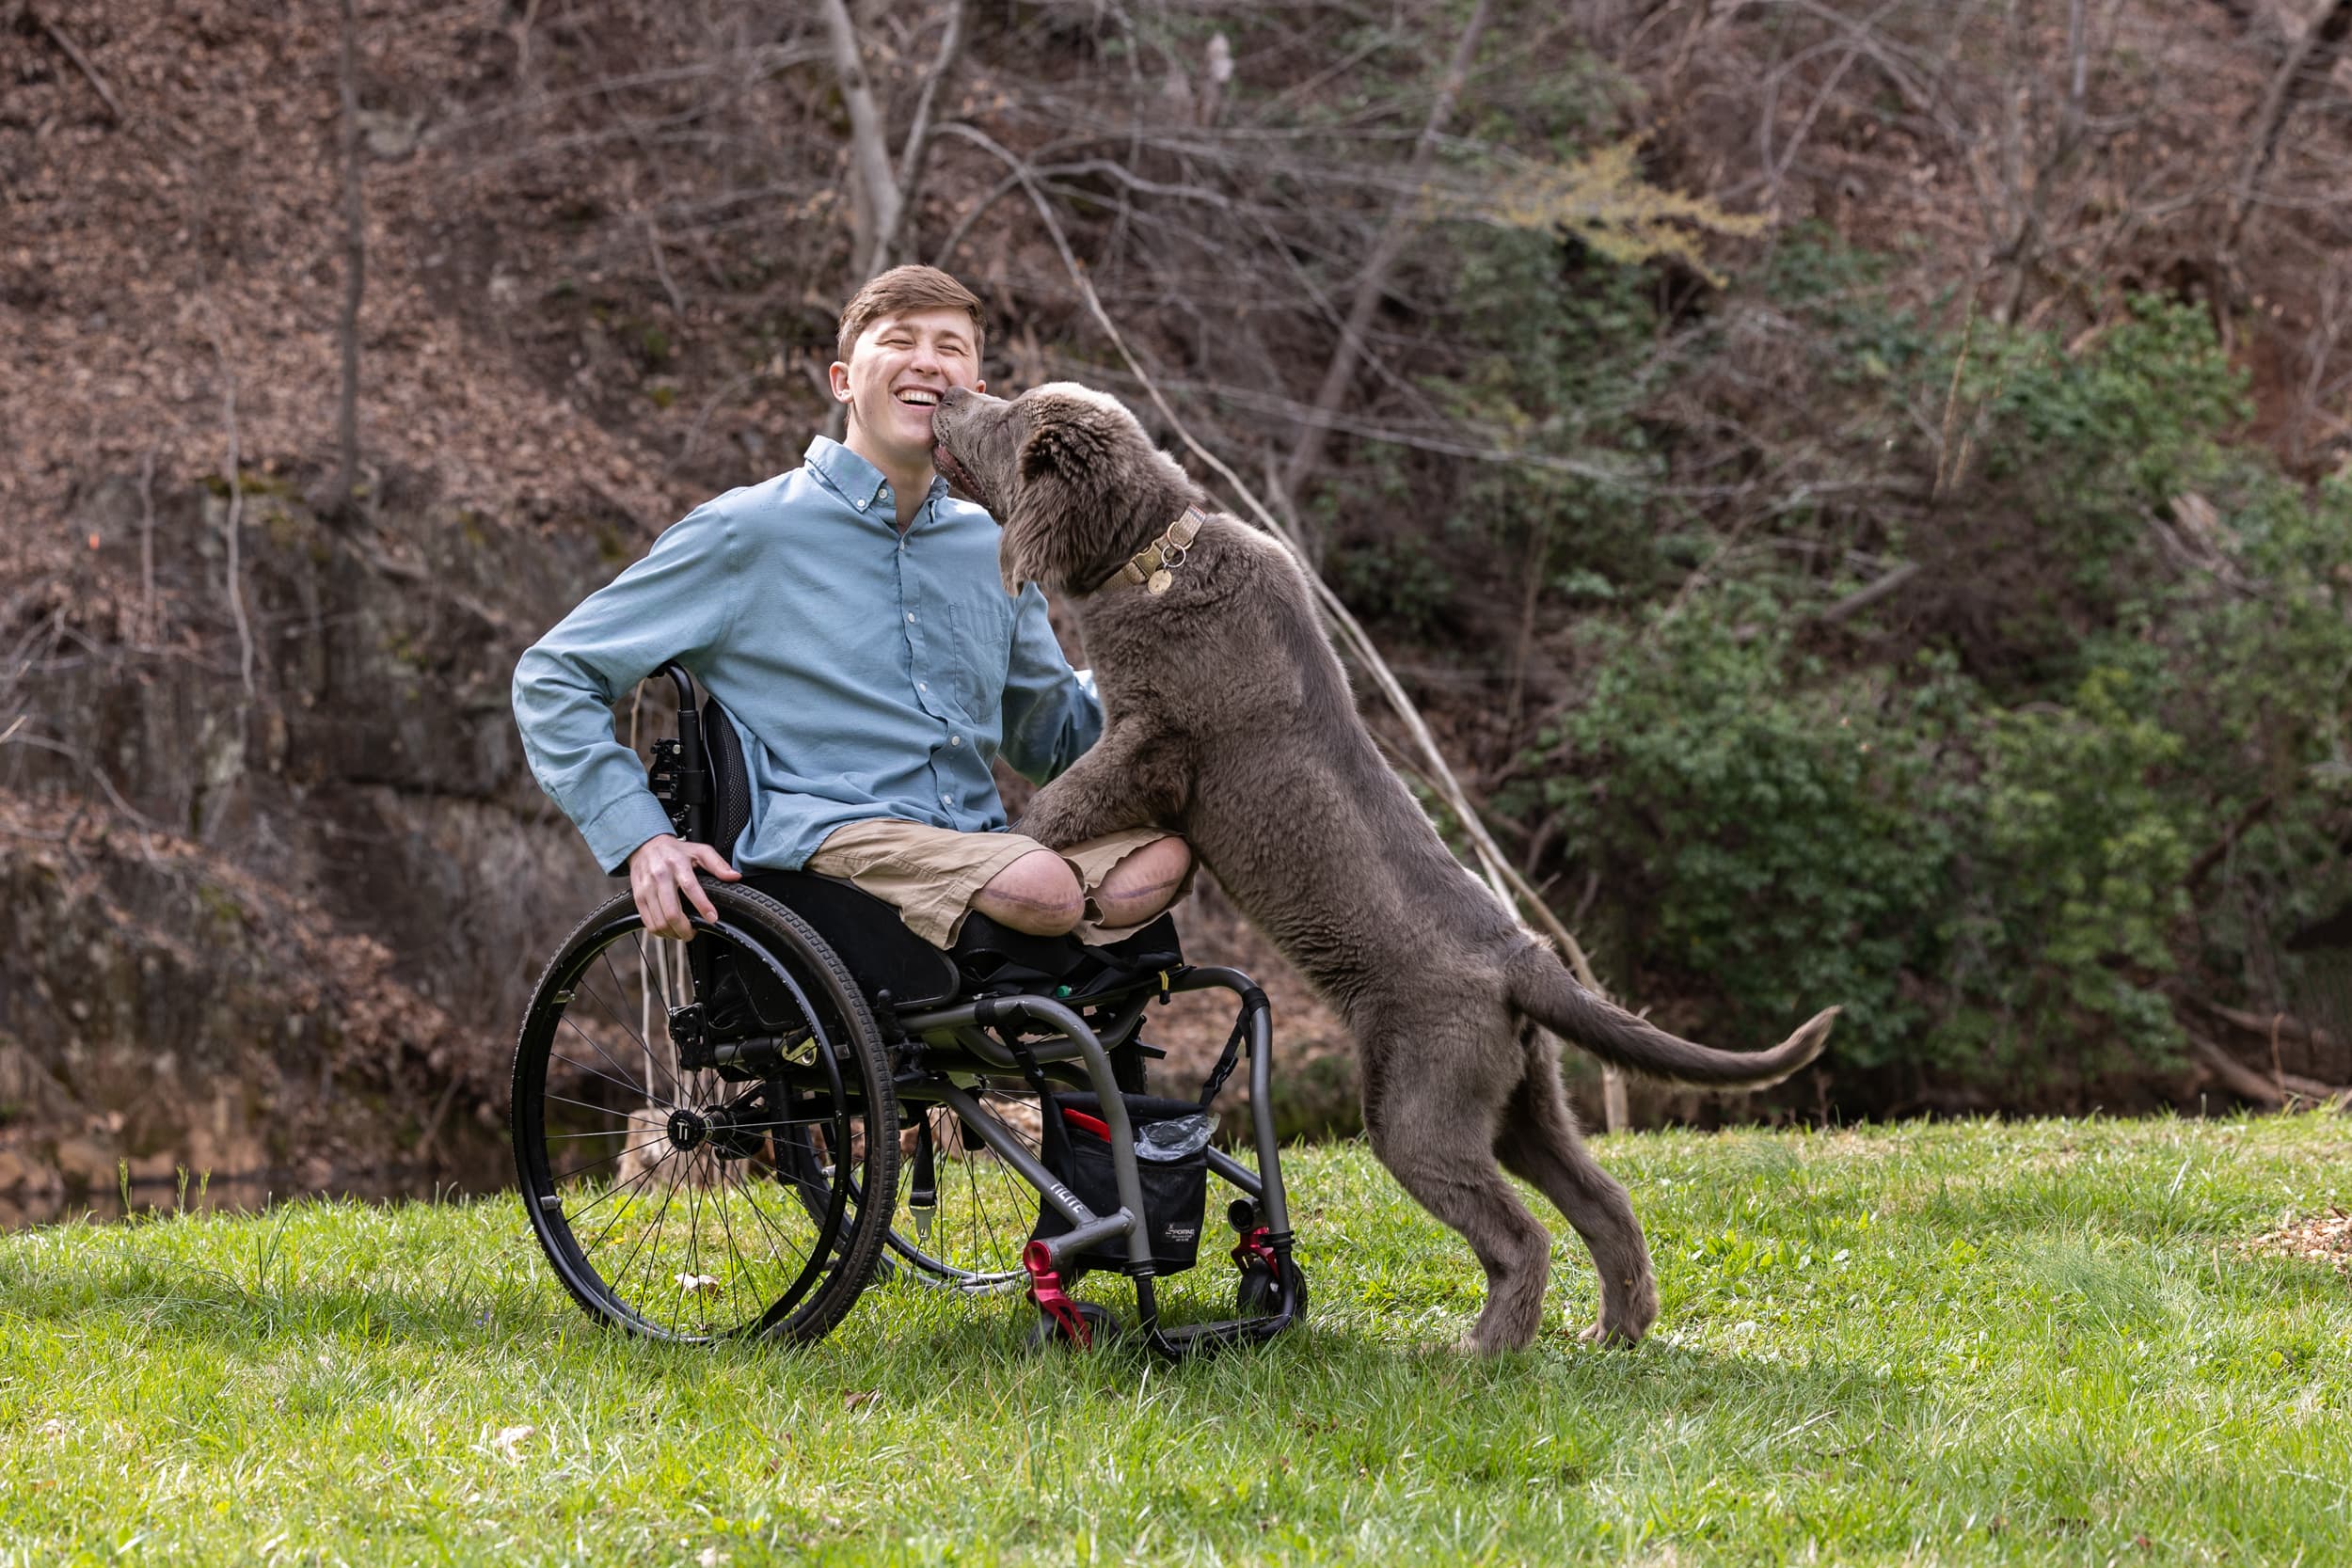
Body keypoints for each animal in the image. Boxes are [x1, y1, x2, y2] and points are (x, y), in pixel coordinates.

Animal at [931, 380, 1835, 1354]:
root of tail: (1526, 961)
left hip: (1416, 1105)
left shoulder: (1150, 742)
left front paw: (1010, 843)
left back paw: (1481, 1350)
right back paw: (1614, 1332)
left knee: (1522, 1231)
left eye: (1005, 413)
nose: (947, 394)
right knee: (1605, 1198)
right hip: (1521, 1100)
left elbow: (1060, 805)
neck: (1155, 556)